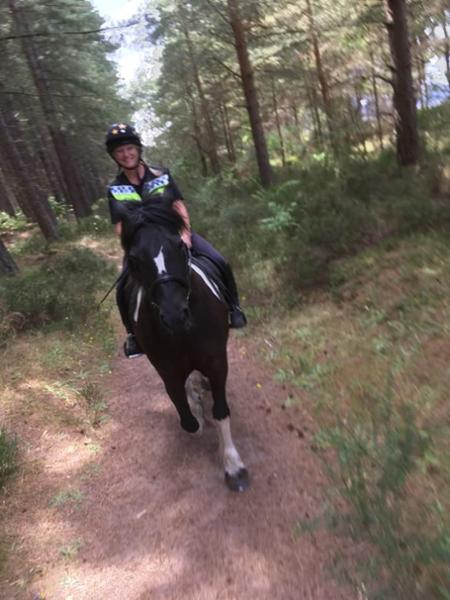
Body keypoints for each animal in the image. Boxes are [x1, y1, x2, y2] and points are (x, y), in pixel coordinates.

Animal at [115, 199, 249, 492]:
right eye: (134, 259)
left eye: (179, 245)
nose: (175, 315)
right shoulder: (168, 371)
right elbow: (189, 421)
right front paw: (196, 408)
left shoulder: (217, 361)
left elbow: (221, 412)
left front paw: (233, 465)